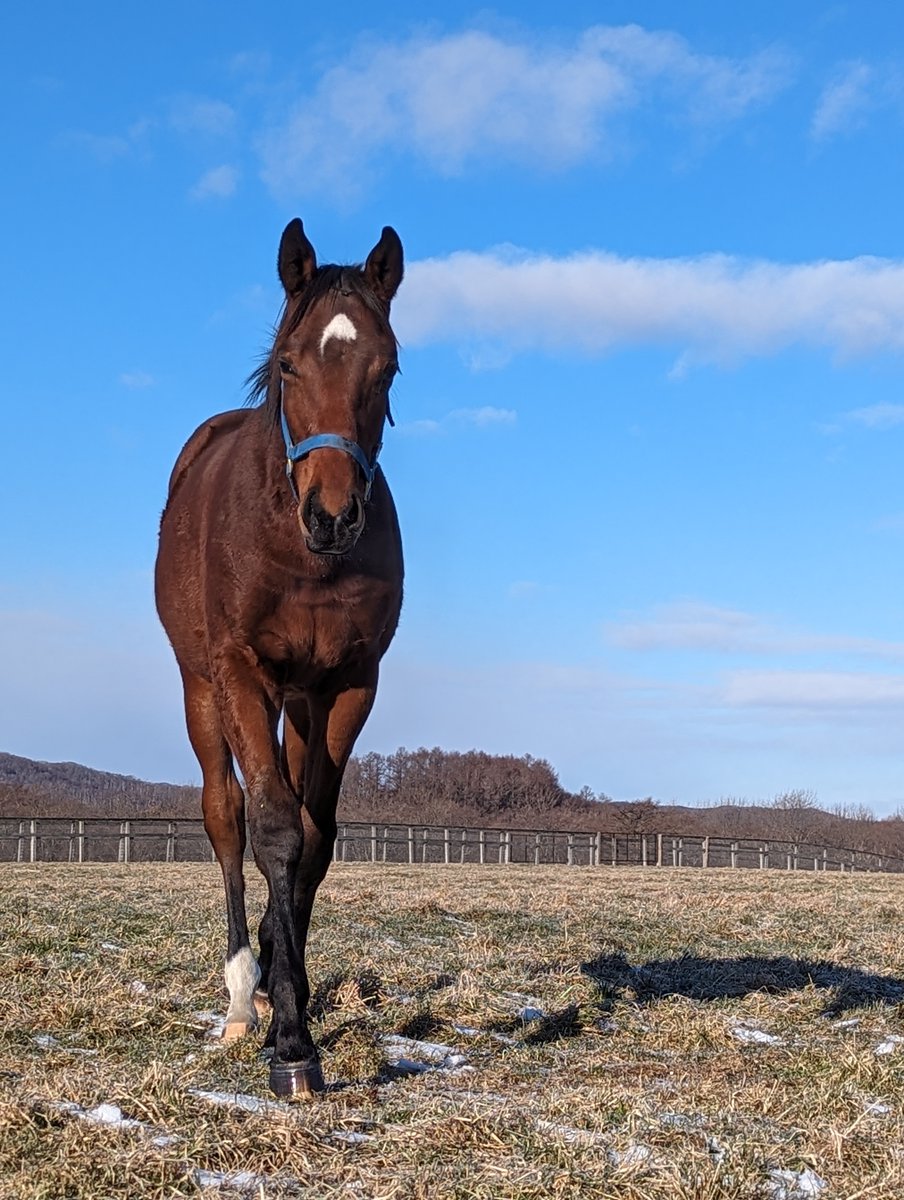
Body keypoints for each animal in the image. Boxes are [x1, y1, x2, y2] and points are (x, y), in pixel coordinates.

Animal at [154, 219, 404, 1097]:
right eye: (291, 364)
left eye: (387, 366)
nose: (333, 515)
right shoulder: (239, 674)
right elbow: (268, 828)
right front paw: (292, 1042)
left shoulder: (348, 685)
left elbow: (312, 842)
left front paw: (289, 1003)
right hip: (203, 691)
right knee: (226, 820)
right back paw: (241, 997)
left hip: (299, 702)